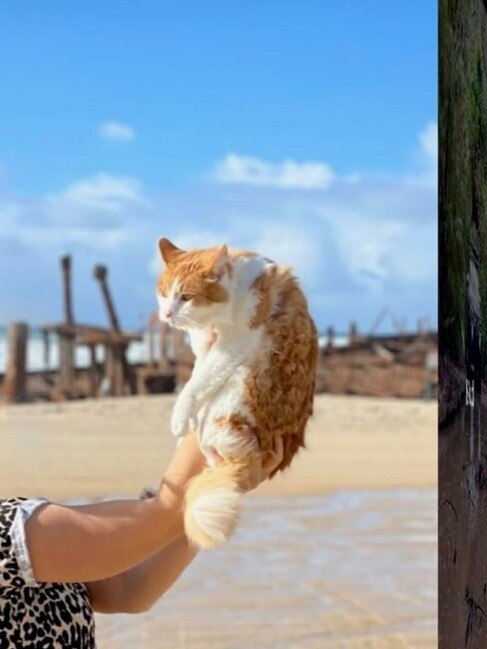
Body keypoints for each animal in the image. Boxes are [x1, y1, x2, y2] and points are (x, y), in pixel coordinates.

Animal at [156, 237, 320, 548]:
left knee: (213, 442)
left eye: (186, 297)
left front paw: (181, 418)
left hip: (238, 389)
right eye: (163, 293)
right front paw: (187, 420)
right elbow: (198, 376)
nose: (167, 314)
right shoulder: (204, 347)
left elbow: (198, 383)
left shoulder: (235, 341)